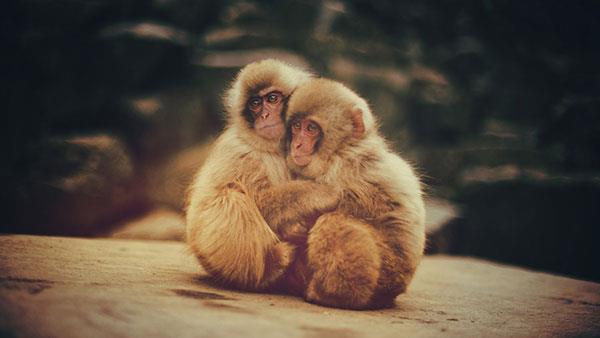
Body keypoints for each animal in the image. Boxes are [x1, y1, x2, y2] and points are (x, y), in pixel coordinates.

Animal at [185, 59, 340, 292]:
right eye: (255, 103)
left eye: (272, 98)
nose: (265, 115)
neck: (273, 147)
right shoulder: (241, 153)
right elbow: (260, 202)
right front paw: (320, 193)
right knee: (230, 197)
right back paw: (268, 269)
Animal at [282, 77, 426, 308]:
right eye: (296, 126)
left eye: (311, 128)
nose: (297, 144)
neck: (342, 149)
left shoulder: (341, 170)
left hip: (388, 274)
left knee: (333, 222)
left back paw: (335, 294)